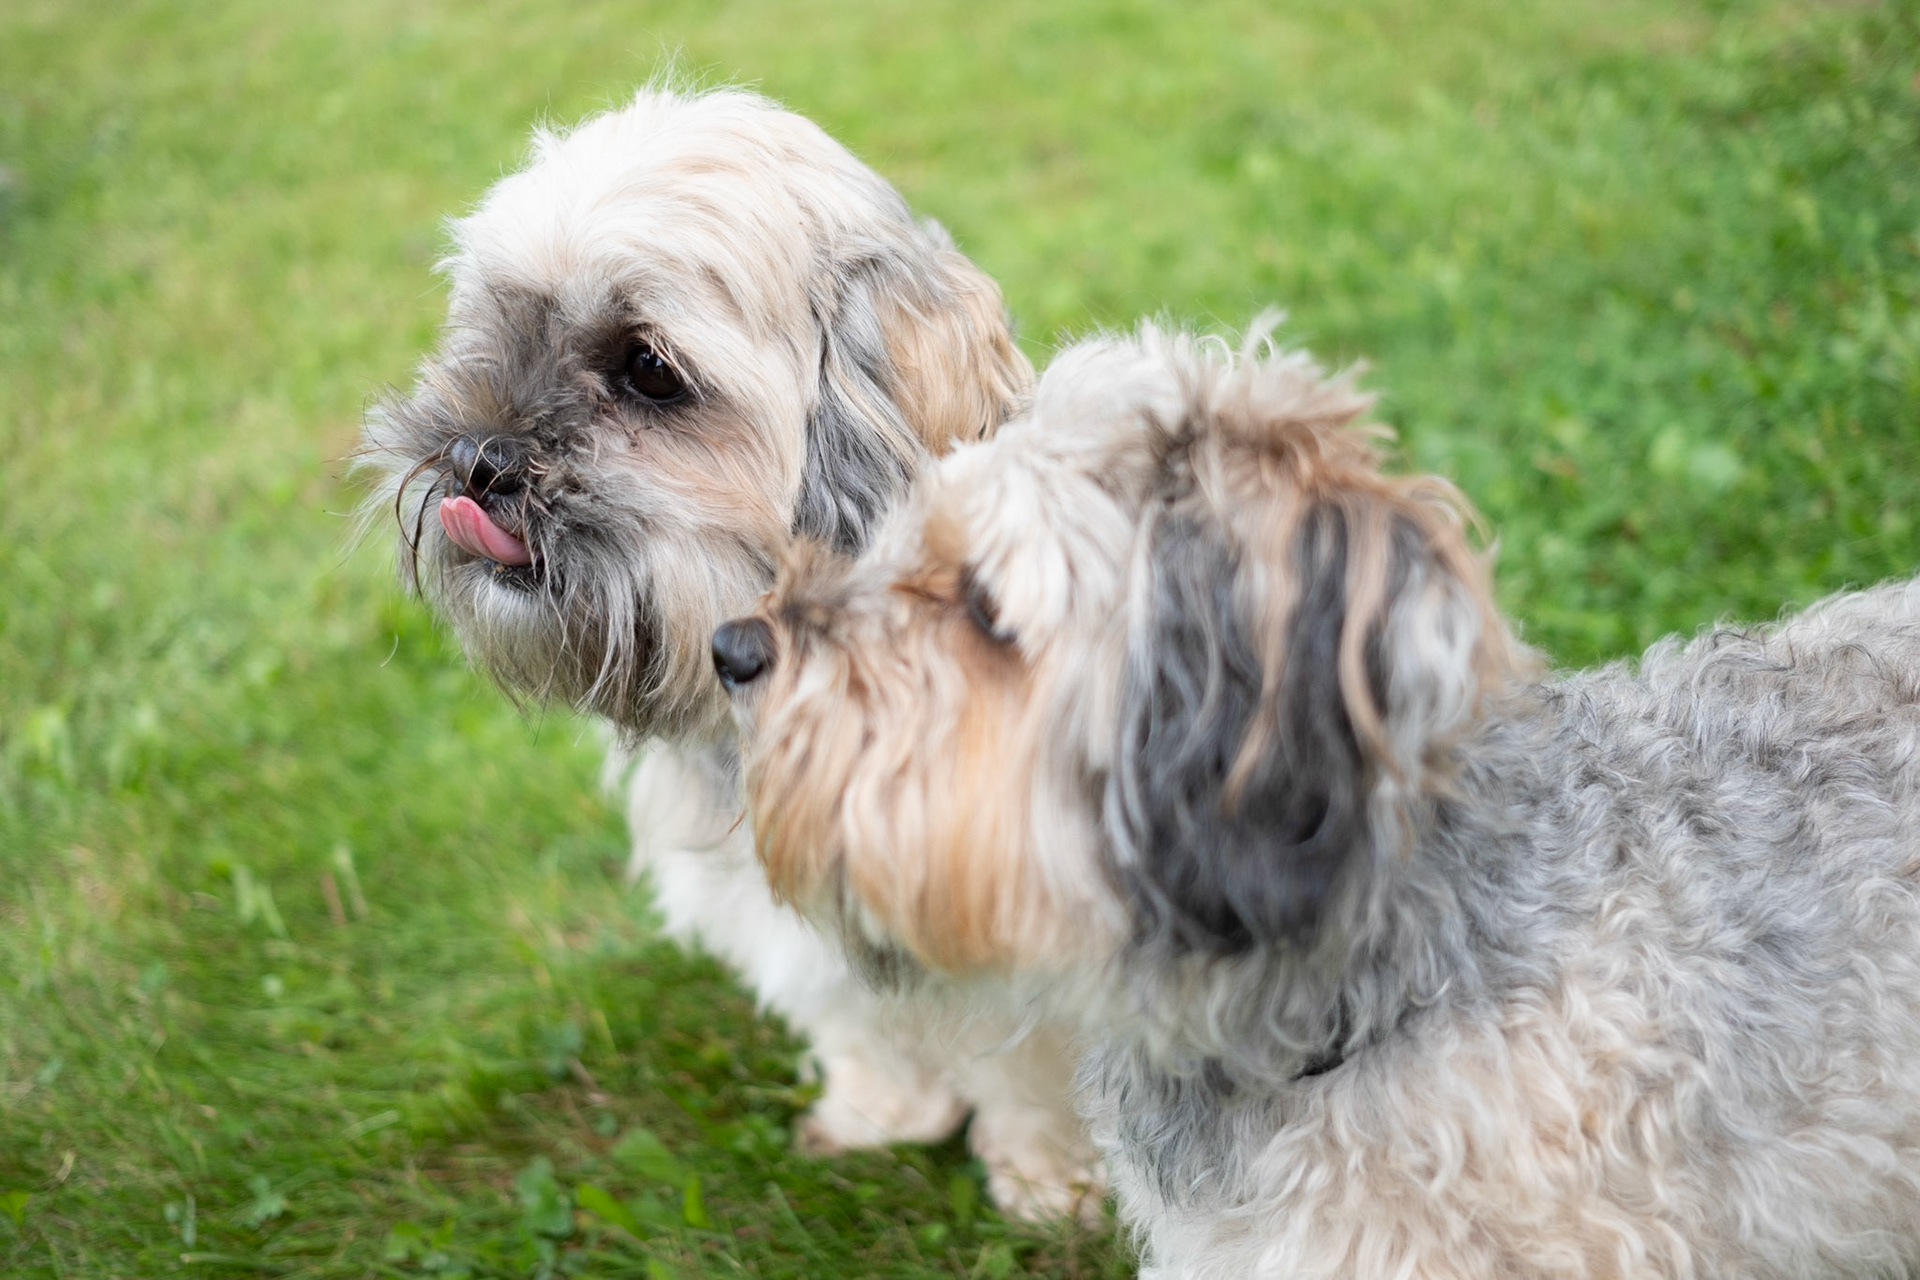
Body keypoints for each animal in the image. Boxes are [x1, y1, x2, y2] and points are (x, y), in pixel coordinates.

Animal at [357, 85, 1100, 1221]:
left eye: (649, 370)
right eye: (505, 326)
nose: (476, 458)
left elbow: (1033, 1068)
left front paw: (1053, 1180)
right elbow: (860, 1022)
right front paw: (879, 1113)